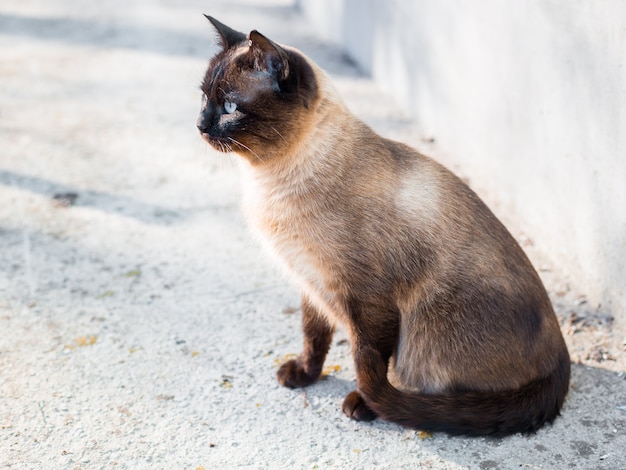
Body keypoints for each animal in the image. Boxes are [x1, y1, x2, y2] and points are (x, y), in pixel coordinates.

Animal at [197, 15, 568, 436]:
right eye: (204, 98)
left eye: (230, 107)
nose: (200, 125)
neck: (269, 183)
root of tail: (562, 361)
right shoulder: (311, 283)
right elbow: (314, 337)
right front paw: (304, 376)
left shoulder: (368, 300)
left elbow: (369, 359)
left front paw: (363, 404)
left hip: (427, 329)